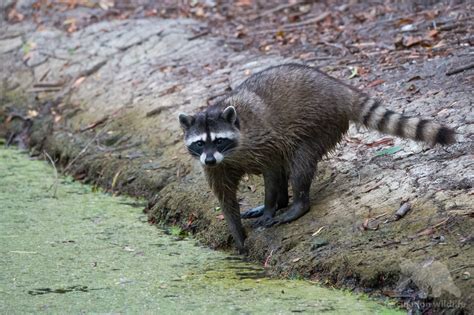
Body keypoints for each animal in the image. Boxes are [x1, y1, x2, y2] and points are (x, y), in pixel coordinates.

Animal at [178, 63, 456, 253]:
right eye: (200, 143)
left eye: (219, 140)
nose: (210, 160)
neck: (229, 155)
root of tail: (338, 88)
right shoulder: (216, 167)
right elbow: (225, 198)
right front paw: (238, 236)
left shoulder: (263, 141)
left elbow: (272, 172)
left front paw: (269, 207)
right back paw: (284, 201)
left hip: (318, 124)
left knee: (299, 162)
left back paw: (296, 204)